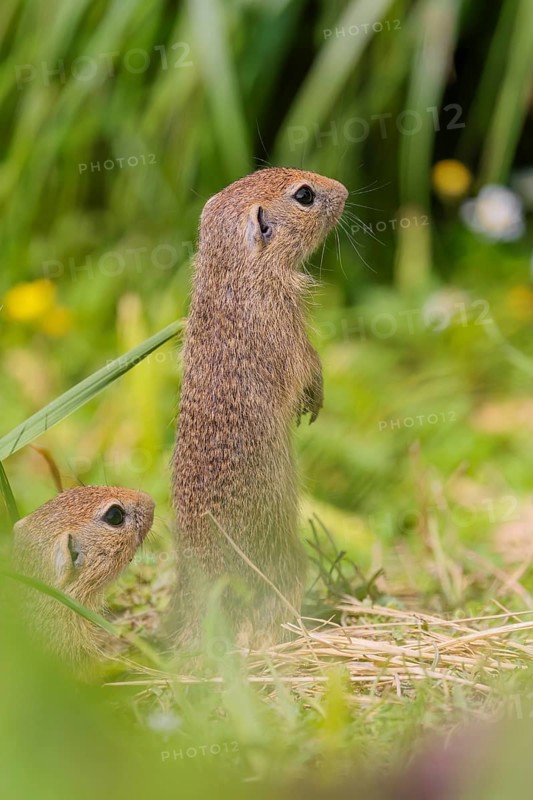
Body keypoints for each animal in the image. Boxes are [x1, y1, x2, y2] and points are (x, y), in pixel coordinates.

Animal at [171, 167, 348, 647]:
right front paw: (313, 402)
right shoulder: (288, 331)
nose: (344, 191)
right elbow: (308, 367)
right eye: (304, 195)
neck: (235, 272)